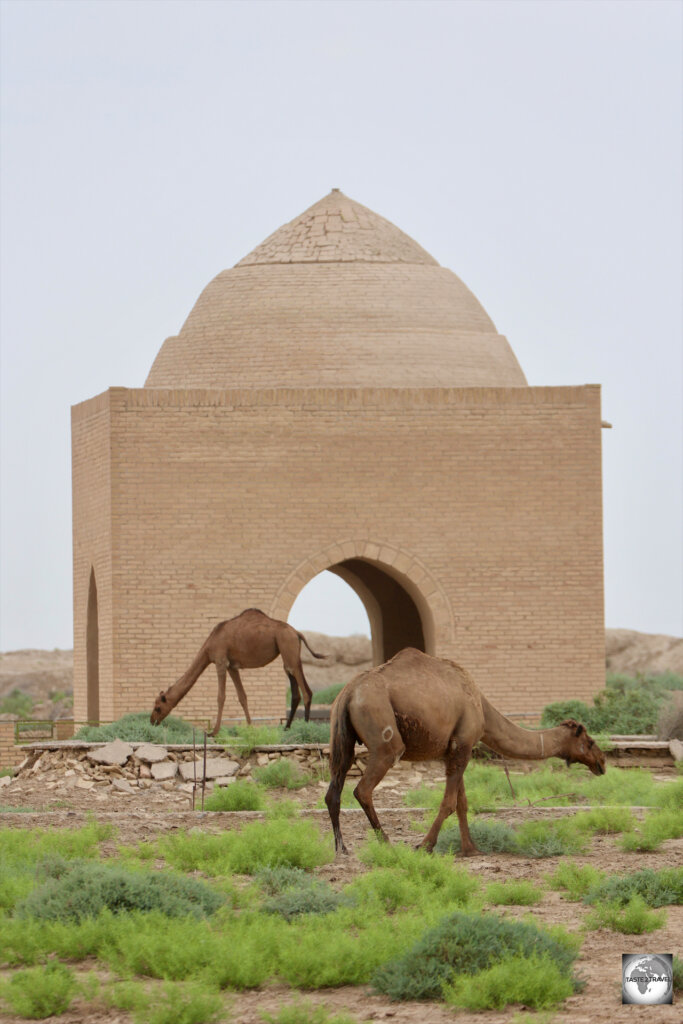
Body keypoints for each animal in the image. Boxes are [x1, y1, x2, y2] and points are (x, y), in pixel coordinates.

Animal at [150, 606, 325, 737]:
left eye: (158, 707)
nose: (152, 721)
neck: (209, 646)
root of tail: (297, 633)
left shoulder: (220, 661)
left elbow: (221, 697)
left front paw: (213, 732)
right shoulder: (232, 667)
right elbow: (242, 696)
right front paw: (250, 728)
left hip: (288, 646)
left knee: (306, 691)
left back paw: (306, 729)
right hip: (287, 653)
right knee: (295, 691)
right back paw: (286, 729)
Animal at [323, 647, 606, 856]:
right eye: (590, 741)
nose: (602, 762)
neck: (481, 706)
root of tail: (349, 692)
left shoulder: (452, 750)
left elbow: (462, 802)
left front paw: (470, 849)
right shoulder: (464, 743)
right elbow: (449, 802)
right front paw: (424, 846)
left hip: (342, 737)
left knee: (333, 789)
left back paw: (341, 849)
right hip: (384, 734)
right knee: (363, 788)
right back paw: (386, 844)